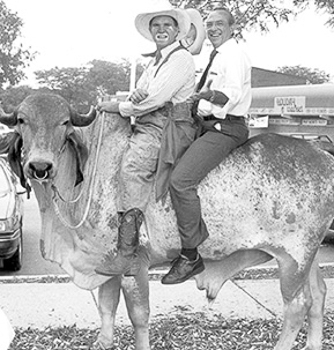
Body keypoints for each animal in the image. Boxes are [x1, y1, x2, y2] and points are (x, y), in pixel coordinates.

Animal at [1, 93, 332, 350]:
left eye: (64, 123)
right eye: (22, 121)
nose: (40, 166)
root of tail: (324, 156)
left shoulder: (135, 264)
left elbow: (139, 316)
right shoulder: (104, 263)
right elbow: (106, 308)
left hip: (294, 258)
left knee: (297, 306)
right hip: (309, 256)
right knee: (318, 295)